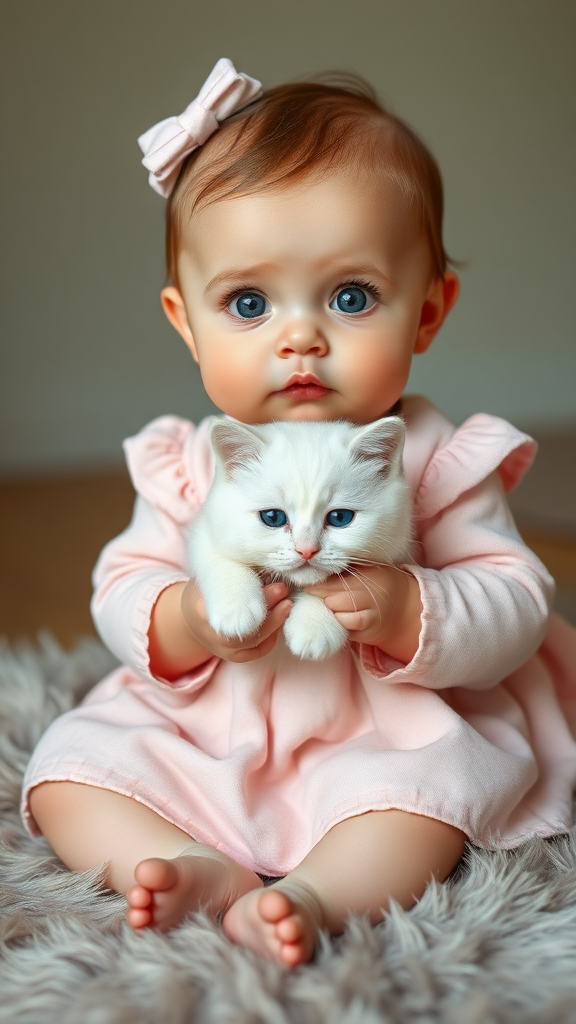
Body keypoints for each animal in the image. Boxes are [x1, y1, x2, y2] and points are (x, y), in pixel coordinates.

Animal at [189, 419, 412, 659]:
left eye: (340, 517)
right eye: (273, 517)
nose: (306, 550)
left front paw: (315, 626)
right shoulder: (204, 529)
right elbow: (216, 556)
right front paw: (235, 606)